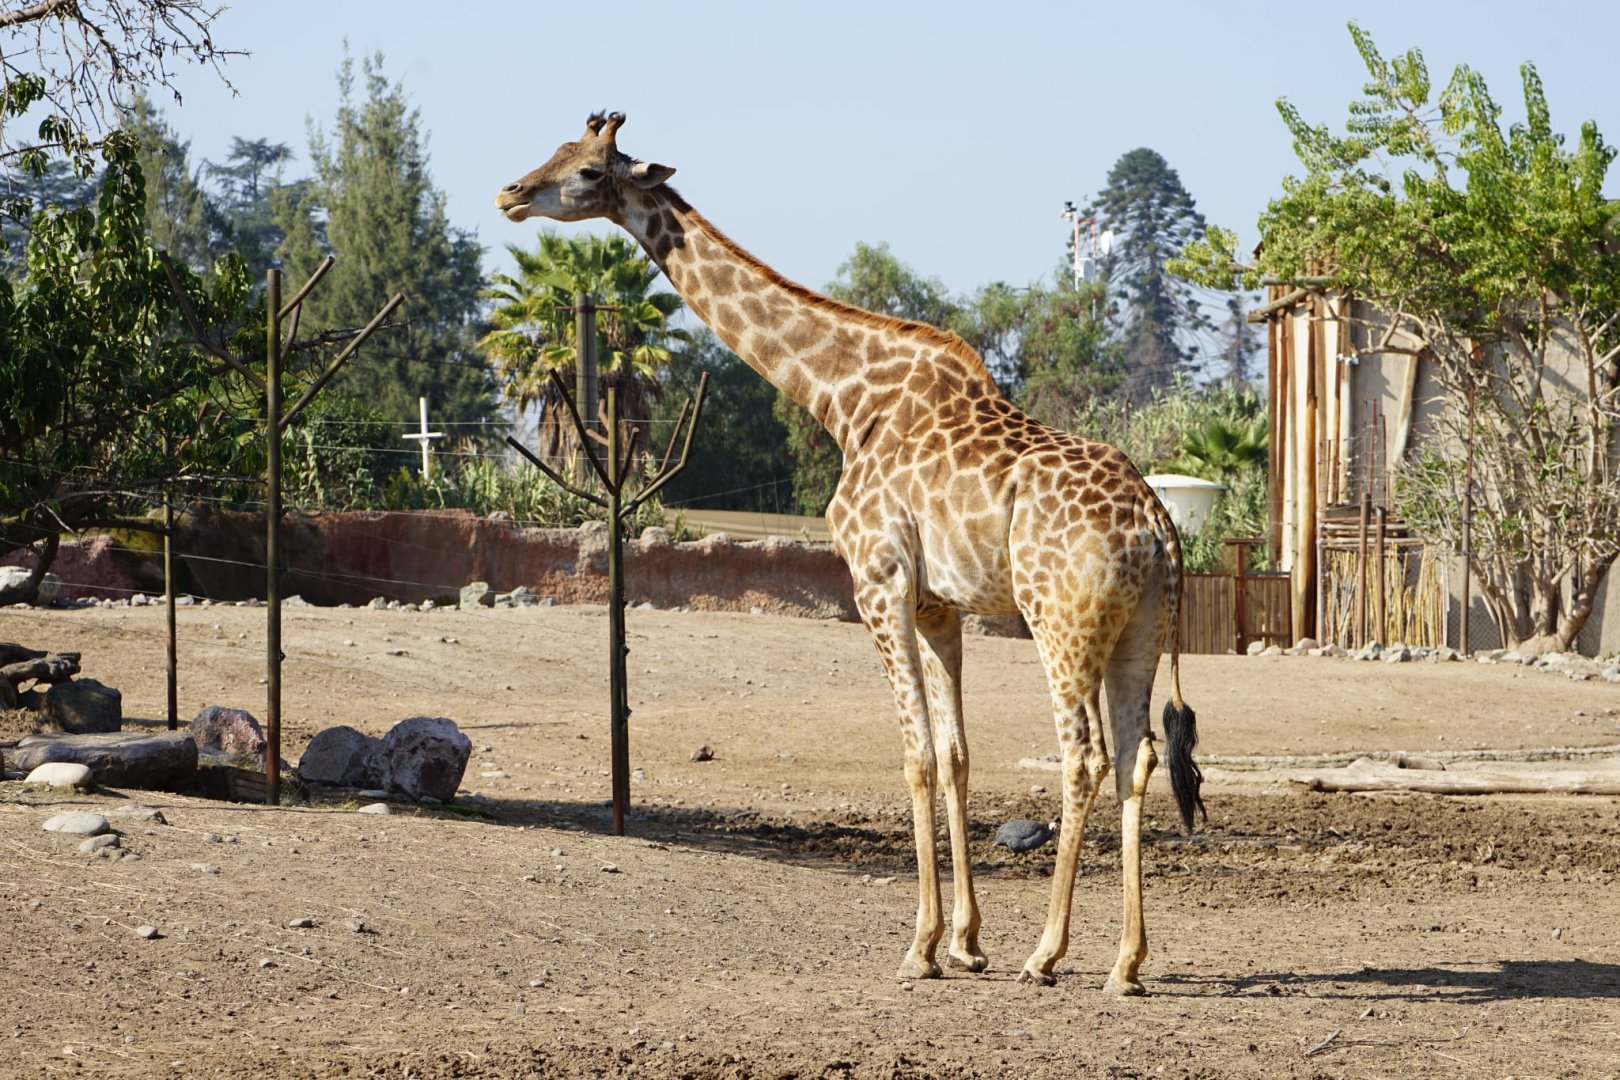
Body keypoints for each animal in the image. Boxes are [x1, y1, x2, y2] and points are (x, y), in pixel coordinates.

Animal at [495, 112, 1205, 993]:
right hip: (1139, 627)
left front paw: (921, 947)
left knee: (1083, 757)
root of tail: (1158, 525)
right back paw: (1127, 962)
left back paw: (1048, 953)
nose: (510, 193)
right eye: (558, 150)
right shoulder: (938, 605)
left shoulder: (878, 582)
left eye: (590, 170)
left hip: (1059, 621)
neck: (842, 399)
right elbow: (957, 754)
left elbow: (916, 757)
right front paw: (966, 941)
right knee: (1139, 757)